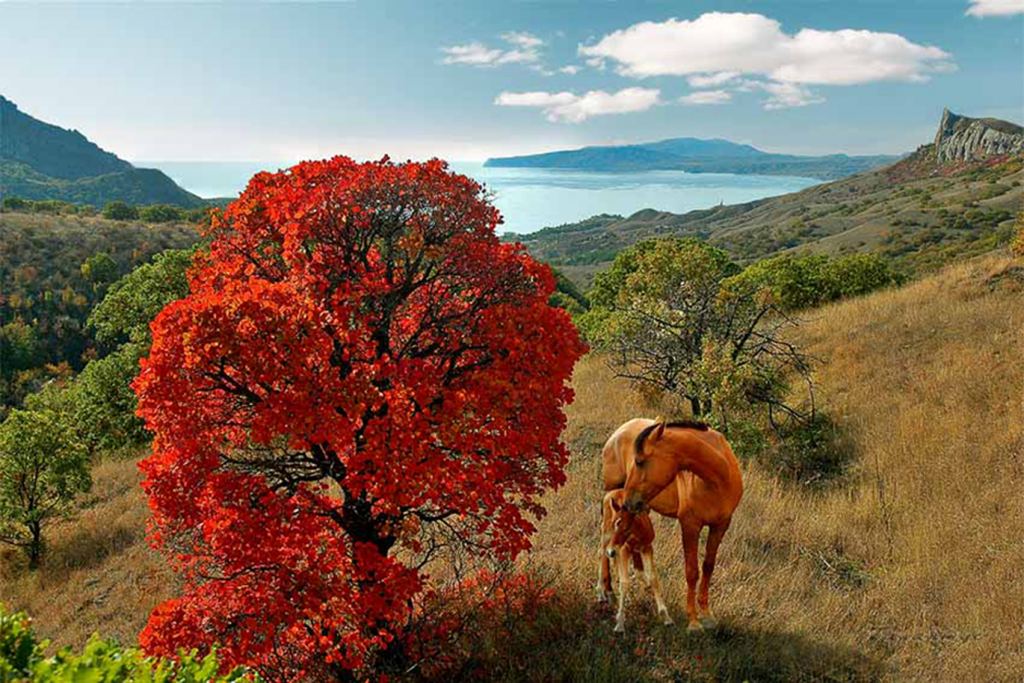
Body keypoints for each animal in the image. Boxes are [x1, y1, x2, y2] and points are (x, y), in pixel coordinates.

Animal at [598, 489, 673, 632]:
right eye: (615, 524)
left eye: (626, 527)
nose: (611, 551)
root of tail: (610, 493)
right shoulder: (623, 550)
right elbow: (624, 583)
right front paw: (620, 623)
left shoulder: (647, 548)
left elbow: (653, 578)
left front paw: (666, 617)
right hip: (606, 534)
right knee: (601, 553)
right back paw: (602, 592)